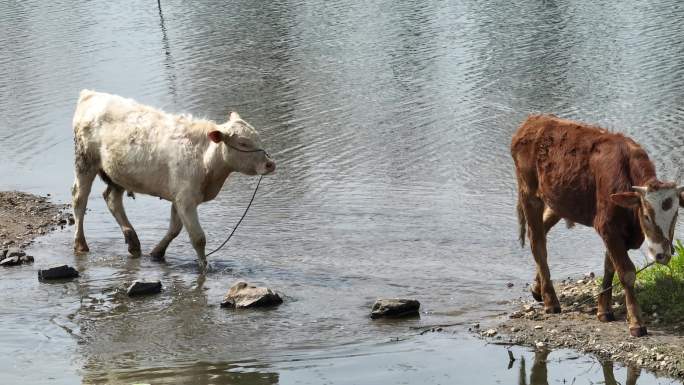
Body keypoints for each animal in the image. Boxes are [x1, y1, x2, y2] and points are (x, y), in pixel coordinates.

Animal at [71, 90, 276, 270]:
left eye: (258, 137)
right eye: (243, 143)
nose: (270, 164)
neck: (205, 159)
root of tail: (91, 94)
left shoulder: (179, 197)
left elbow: (175, 229)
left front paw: (157, 252)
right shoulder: (185, 199)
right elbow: (198, 237)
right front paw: (204, 266)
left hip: (117, 174)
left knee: (112, 199)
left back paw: (133, 242)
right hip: (85, 162)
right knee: (79, 200)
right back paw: (81, 244)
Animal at [510, 114, 680, 336]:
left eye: (676, 215)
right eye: (646, 215)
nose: (662, 254)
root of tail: (533, 121)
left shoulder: (617, 232)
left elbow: (609, 267)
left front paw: (604, 311)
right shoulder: (608, 226)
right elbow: (626, 272)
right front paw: (636, 322)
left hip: (559, 201)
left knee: (542, 230)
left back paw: (538, 289)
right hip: (529, 194)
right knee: (538, 242)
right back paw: (551, 301)